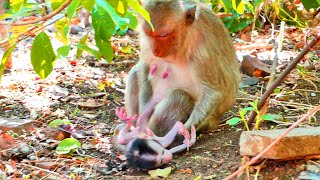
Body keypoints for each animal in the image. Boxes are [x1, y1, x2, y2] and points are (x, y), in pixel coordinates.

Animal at [120, 0, 240, 167]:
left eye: (163, 34)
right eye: (150, 34)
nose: (156, 50)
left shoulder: (203, 50)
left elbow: (213, 91)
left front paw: (183, 132)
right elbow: (145, 65)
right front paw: (143, 115)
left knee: (179, 96)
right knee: (134, 72)